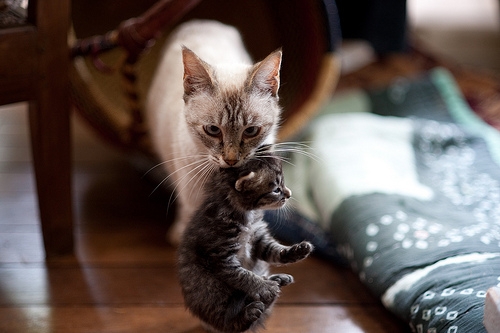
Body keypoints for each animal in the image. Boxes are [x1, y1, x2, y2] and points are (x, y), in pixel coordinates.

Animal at [179, 151, 312, 332]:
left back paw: (276, 280)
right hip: (209, 289)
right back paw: (252, 309)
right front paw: (263, 287)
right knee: (228, 322)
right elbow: (242, 275)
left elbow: (274, 250)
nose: (289, 194)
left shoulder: (259, 238)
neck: (246, 214)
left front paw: (296, 251)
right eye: (276, 190)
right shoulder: (220, 255)